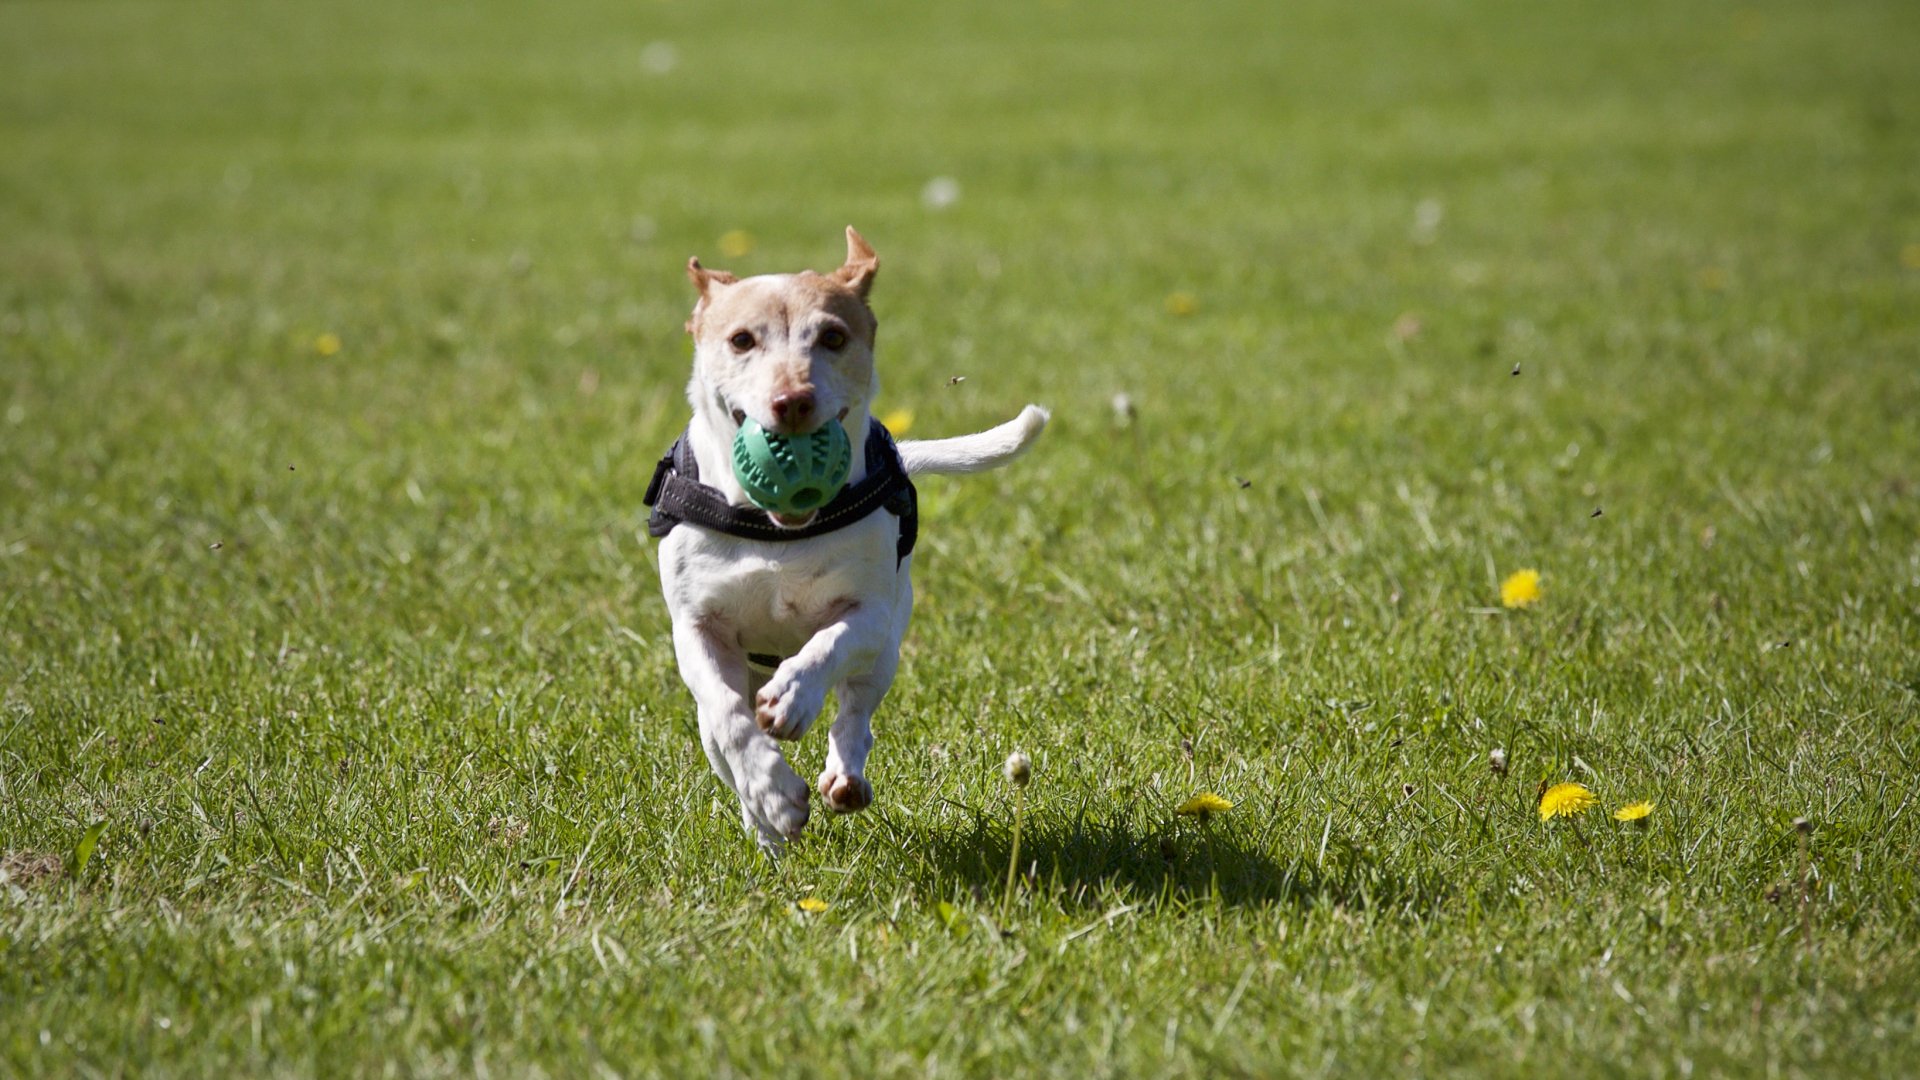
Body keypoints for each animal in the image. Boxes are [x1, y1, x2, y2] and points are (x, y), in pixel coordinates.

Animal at [648, 226, 1052, 849]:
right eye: (741, 340)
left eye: (833, 337)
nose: (793, 401)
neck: (776, 532)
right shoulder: (696, 628)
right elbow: (730, 717)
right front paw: (773, 793)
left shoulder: (871, 613)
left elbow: (828, 646)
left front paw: (793, 697)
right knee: (722, 738)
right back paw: (765, 829)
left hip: (886, 649)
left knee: (856, 712)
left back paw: (843, 775)